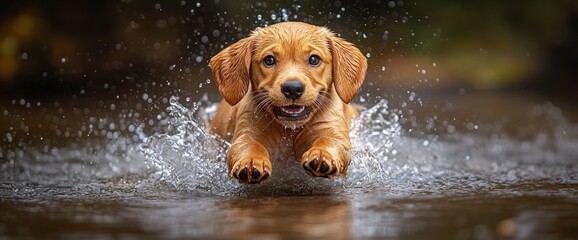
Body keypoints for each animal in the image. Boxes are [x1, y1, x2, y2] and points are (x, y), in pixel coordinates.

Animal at [209, 22, 366, 184]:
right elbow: (250, 145)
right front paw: (251, 161)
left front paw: (322, 153)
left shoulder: (332, 131)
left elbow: (328, 140)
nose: (293, 88)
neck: (290, 130)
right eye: (269, 60)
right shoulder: (246, 133)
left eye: (314, 59)